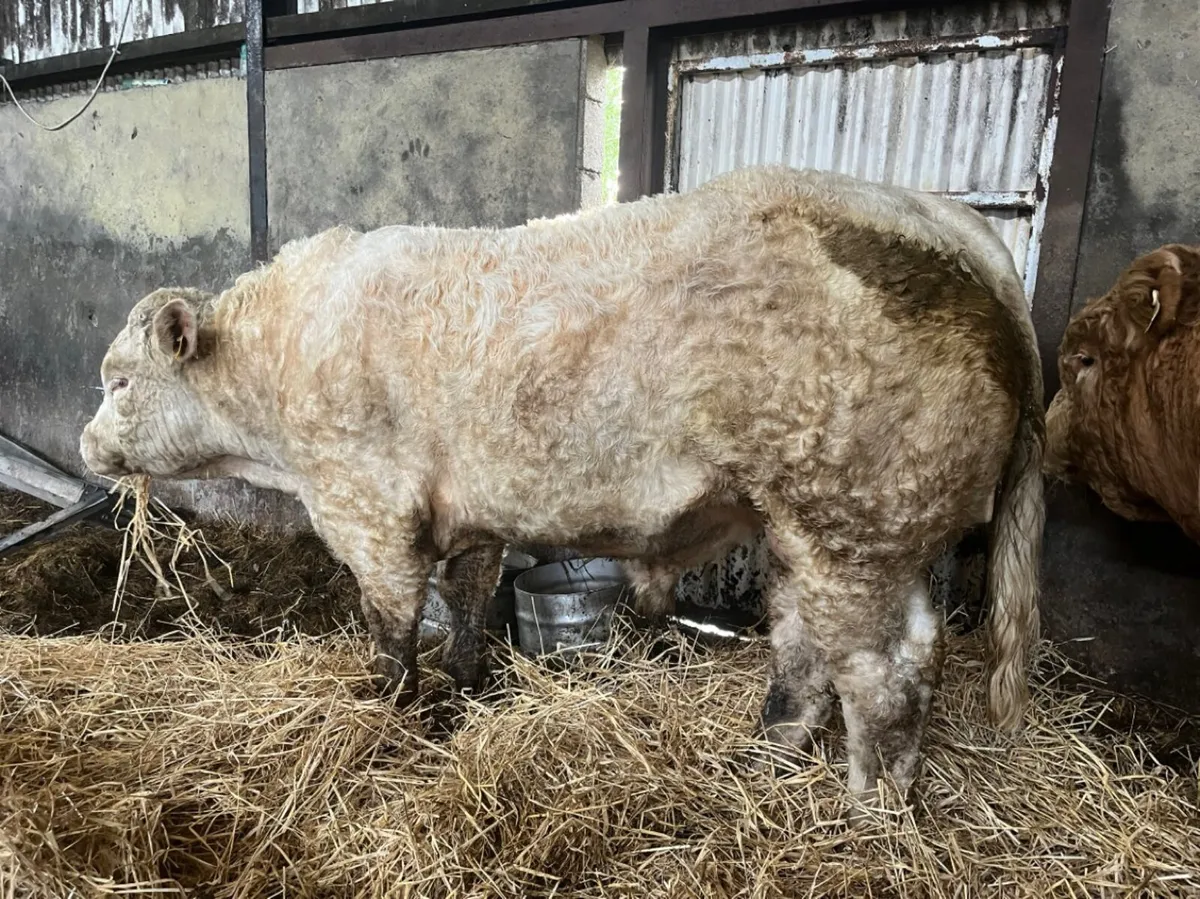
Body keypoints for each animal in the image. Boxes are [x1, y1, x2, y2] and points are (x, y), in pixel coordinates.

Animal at [80, 165, 1045, 804]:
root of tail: (960, 228)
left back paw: (867, 813)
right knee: (831, 650)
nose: (88, 445)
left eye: (118, 380)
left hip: (851, 520)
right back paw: (760, 764)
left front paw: (384, 720)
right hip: (839, 530)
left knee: (881, 674)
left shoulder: (367, 507)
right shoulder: (468, 513)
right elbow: (469, 599)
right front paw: (464, 693)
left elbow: (391, 633)